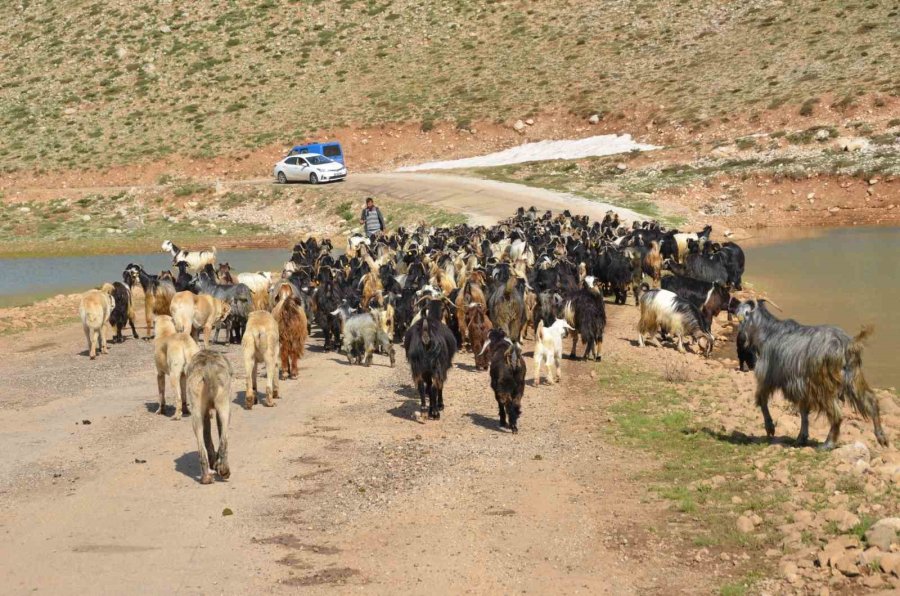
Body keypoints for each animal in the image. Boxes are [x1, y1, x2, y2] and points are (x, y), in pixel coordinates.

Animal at [736, 300, 888, 450]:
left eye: (742, 317)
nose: (741, 339)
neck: (768, 332)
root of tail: (846, 345)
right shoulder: (801, 387)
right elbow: (804, 412)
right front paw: (801, 438)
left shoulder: (768, 376)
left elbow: (762, 400)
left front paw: (770, 428)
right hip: (853, 378)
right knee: (871, 401)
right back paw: (882, 438)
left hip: (823, 384)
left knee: (837, 414)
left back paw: (828, 444)